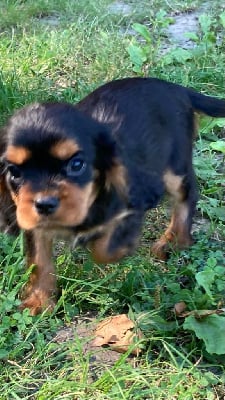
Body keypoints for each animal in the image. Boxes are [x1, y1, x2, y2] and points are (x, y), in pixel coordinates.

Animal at [0, 77, 225, 316]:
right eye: (14, 172)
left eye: (76, 164)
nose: (44, 204)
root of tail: (176, 88)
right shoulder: (33, 223)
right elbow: (39, 261)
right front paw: (39, 301)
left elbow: (104, 249)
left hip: (173, 169)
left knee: (187, 194)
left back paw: (173, 242)